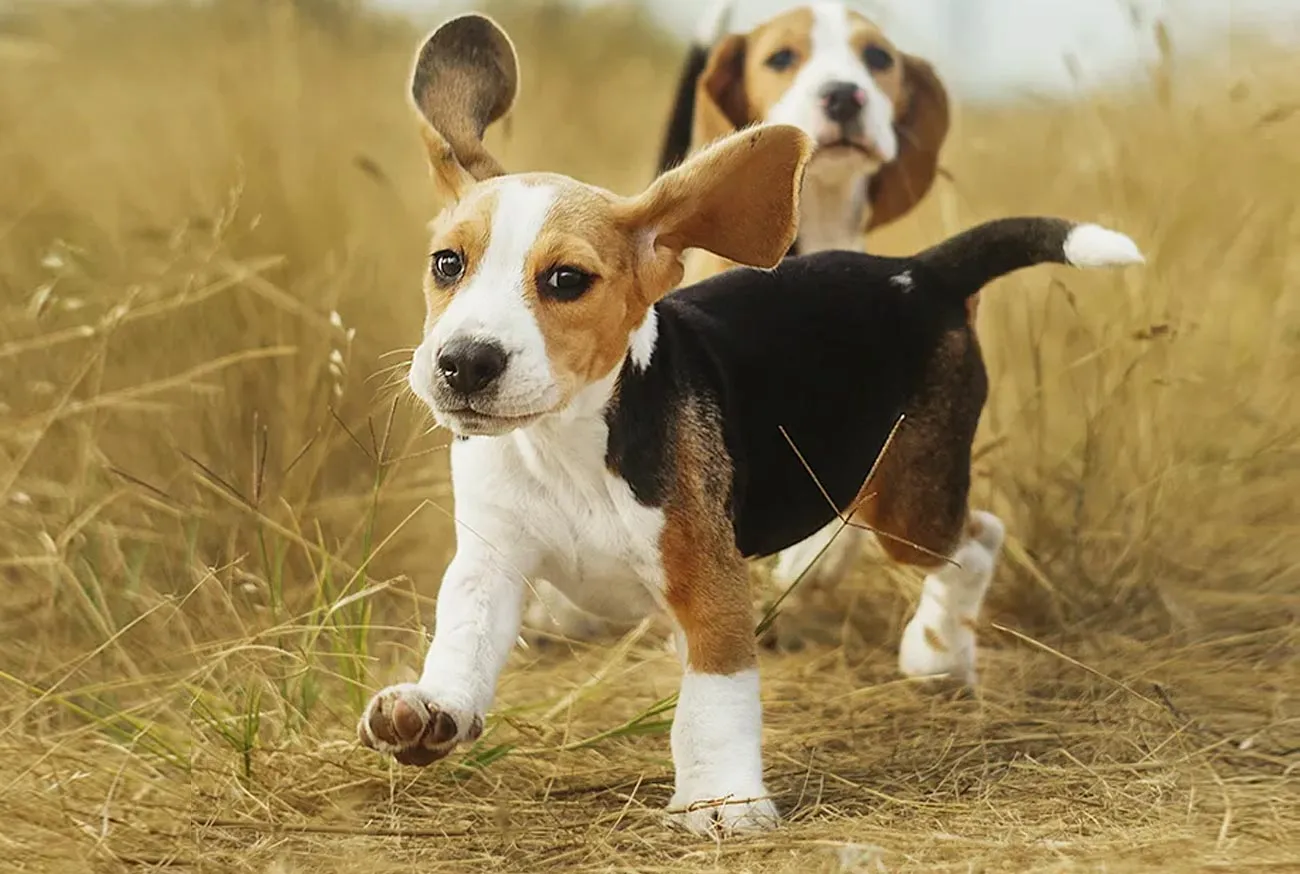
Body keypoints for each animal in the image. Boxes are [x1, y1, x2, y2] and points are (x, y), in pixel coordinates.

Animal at [356, 11, 1138, 832]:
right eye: (447, 264)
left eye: (566, 280)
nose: (465, 362)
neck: (565, 444)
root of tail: (922, 271)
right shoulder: (492, 560)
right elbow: (464, 635)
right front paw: (433, 709)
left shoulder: (711, 584)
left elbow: (713, 703)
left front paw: (724, 801)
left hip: (906, 507)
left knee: (977, 537)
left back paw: (936, 650)